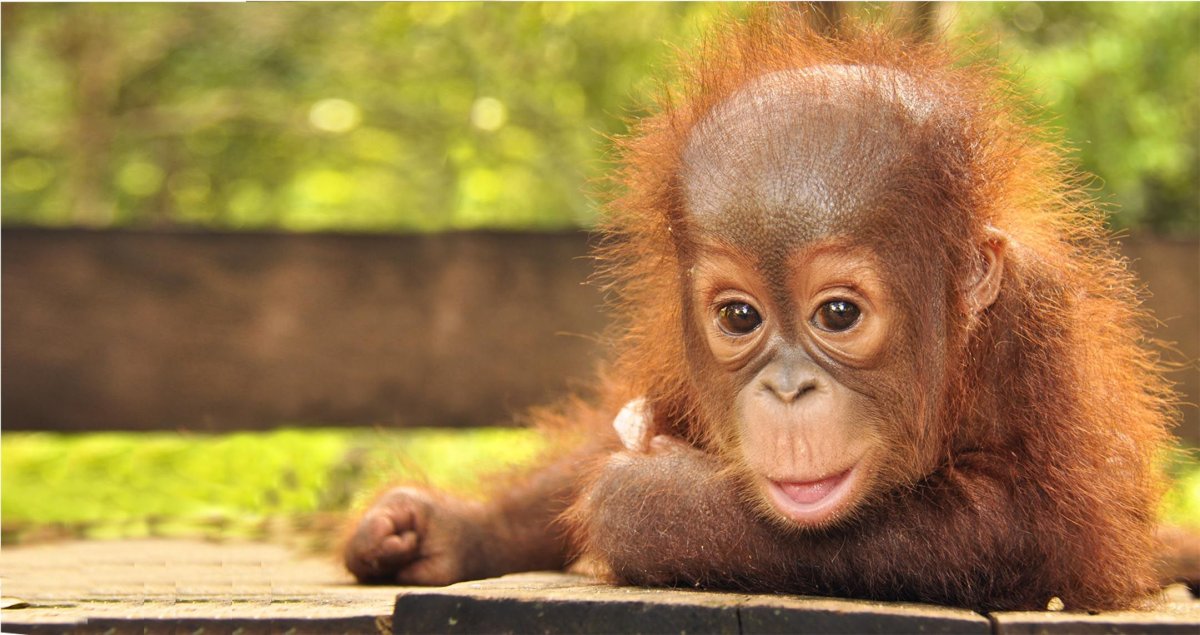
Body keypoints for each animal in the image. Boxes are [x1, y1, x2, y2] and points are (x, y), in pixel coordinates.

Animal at [344, 12, 1176, 612]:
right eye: (740, 318)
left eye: (837, 313)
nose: (787, 389)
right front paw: (438, 527)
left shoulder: (1036, 325)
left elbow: (1037, 527)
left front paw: (650, 499)